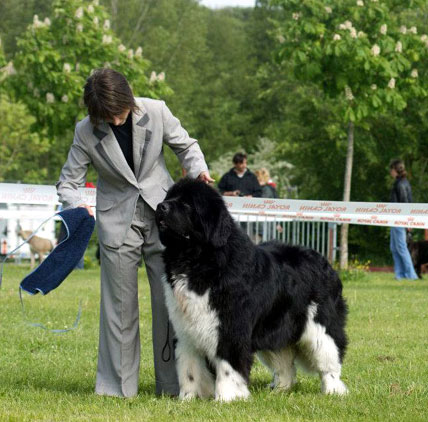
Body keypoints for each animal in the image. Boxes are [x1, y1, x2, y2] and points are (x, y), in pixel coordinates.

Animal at [155, 179, 350, 402]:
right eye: (169, 197)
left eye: (187, 204)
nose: (160, 206)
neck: (196, 259)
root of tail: (325, 262)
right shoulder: (186, 330)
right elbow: (189, 369)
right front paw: (187, 399)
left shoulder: (231, 328)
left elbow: (228, 366)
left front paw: (226, 398)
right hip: (275, 326)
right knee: (284, 364)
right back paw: (279, 390)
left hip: (320, 326)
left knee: (329, 360)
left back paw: (334, 390)